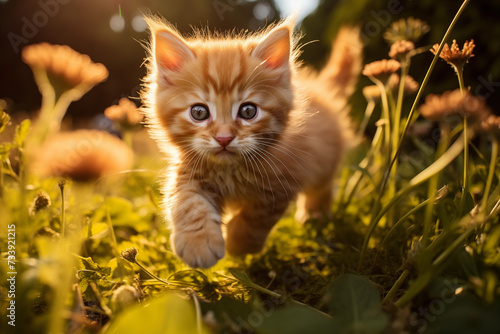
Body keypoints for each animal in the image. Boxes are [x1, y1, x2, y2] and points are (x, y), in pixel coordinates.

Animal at [143, 16, 362, 268]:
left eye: (248, 111)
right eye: (199, 113)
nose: (224, 138)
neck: (230, 170)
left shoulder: (282, 182)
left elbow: (255, 218)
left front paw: (238, 244)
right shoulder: (189, 172)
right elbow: (186, 202)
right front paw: (198, 243)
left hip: (324, 163)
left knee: (323, 187)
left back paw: (314, 214)